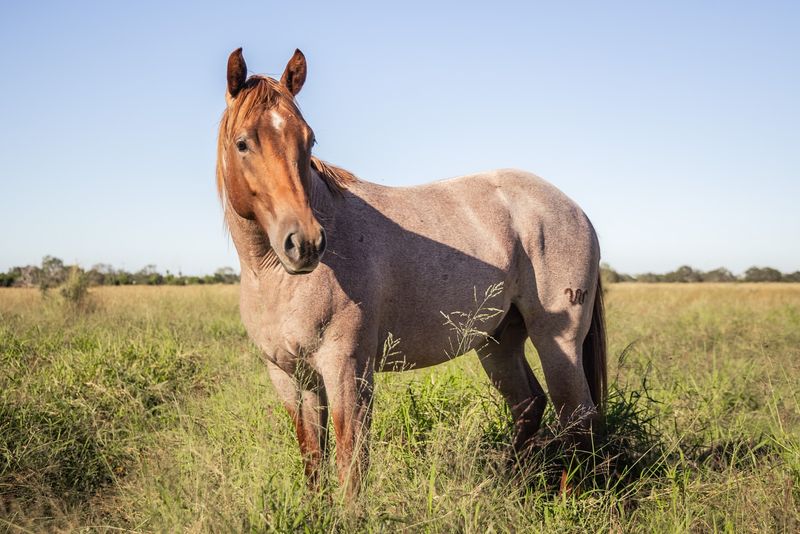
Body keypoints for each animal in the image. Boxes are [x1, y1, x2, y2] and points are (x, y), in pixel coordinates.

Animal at [216, 48, 604, 496]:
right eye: (243, 143)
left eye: (308, 140)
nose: (307, 243)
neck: (274, 278)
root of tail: (574, 208)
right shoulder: (290, 377)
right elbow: (313, 460)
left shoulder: (347, 370)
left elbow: (351, 464)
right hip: (498, 343)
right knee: (530, 406)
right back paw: (509, 481)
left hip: (557, 342)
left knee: (577, 418)